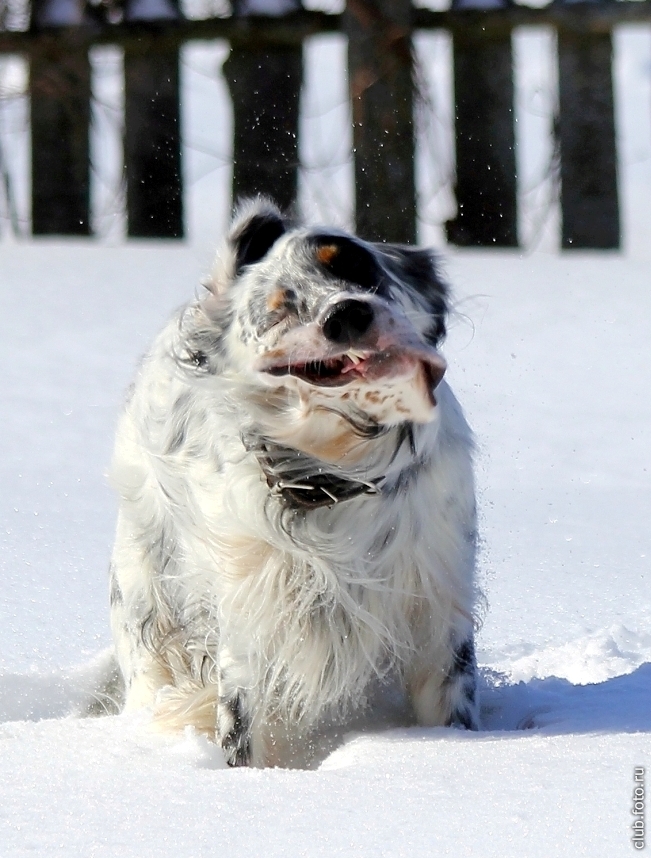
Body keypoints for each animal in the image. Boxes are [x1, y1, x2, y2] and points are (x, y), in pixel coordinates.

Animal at [108, 197, 478, 764]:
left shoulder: (440, 606)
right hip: (145, 599)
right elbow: (241, 723)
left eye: (354, 265)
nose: (347, 313)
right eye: (279, 309)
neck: (335, 472)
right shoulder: (246, 626)